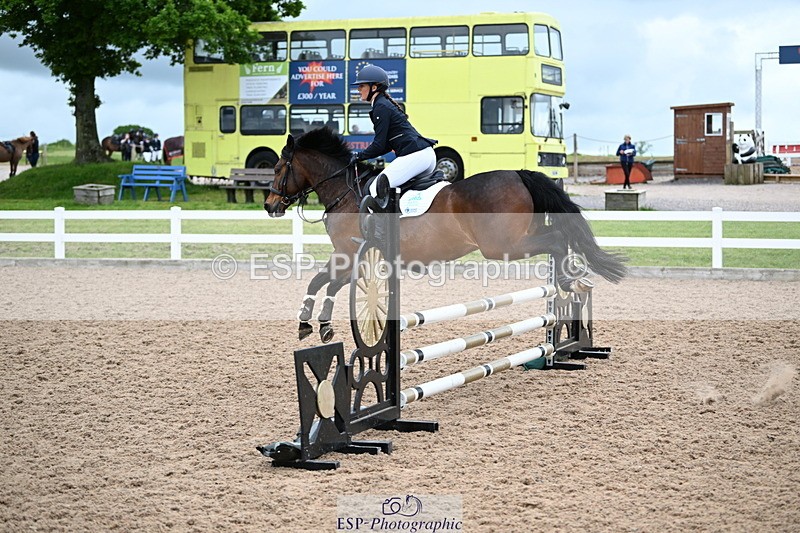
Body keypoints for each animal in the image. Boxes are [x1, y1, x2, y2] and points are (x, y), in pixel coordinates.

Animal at [264, 128, 627, 343]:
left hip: (502, 245)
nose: (270, 205)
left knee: (556, 240)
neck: (346, 192)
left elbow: (321, 282)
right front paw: (318, 324)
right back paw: (573, 277)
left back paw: (569, 280)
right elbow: (328, 283)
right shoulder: (354, 257)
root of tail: (519, 173)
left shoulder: (347, 253)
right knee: (560, 236)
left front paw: (311, 323)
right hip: (522, 235)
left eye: (279, 167)